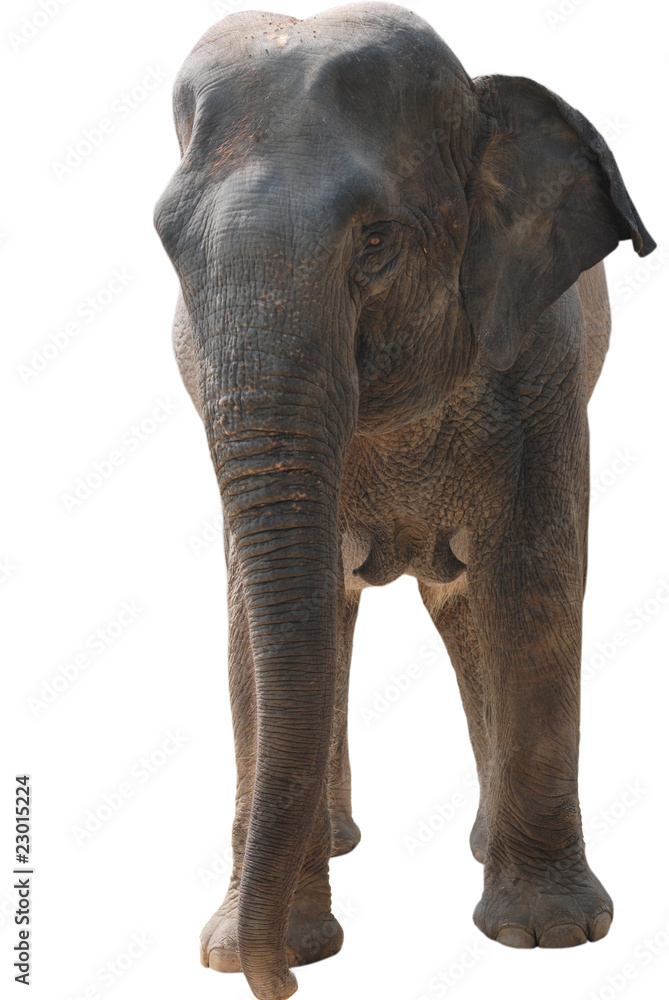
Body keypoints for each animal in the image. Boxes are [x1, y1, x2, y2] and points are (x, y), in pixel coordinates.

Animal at [154, 4, 655, 999]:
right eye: (168, 246)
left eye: (377, 241)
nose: (277, 983)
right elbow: (256, 622)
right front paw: (257, 949)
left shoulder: (544, 371)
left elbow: (534, 586)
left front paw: (551, 937)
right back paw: (347, 845)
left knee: (468, 606)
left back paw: (482, 850)